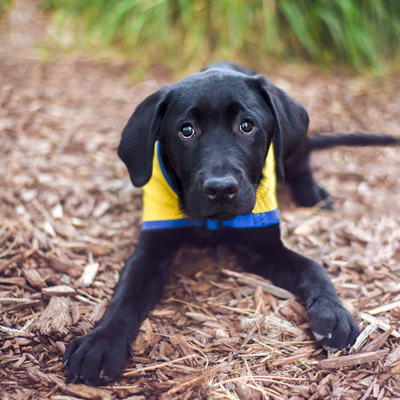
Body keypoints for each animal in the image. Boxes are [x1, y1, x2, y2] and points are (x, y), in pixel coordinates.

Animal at [62, 61, 360, 384]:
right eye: (186, 131)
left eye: (246, 126)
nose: (220, 189)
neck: (212, 224)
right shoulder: (150, 252)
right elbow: (126, 294)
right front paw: (101, 342)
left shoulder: (265, 249)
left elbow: (313, 268)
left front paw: (334, 314)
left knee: (300, 164)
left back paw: (313, 194)